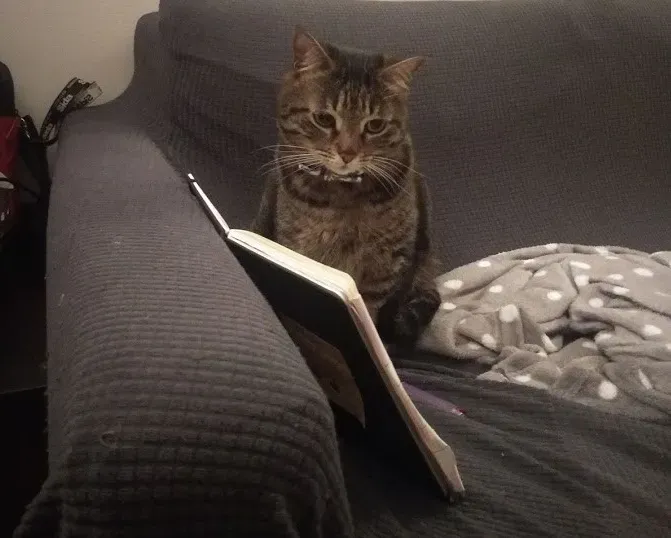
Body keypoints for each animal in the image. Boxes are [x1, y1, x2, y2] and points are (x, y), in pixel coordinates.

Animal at [252, 25, 440, 346]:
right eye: (324, 119)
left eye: (375, 125)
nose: (348, 152)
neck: (342, 196)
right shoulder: (298, 249)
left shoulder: (386, 265)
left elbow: (371, 313)